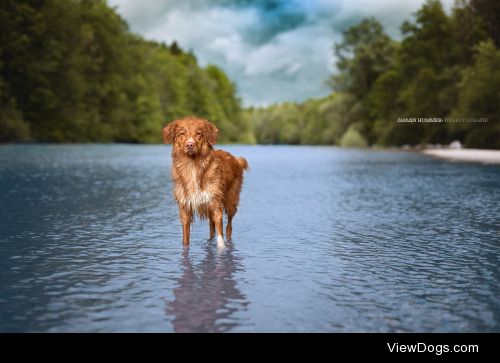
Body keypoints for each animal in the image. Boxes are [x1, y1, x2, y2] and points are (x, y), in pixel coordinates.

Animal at [163, 118, 249, 249]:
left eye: (199, 134)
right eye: (182, 133)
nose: (190, 144)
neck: (193, 165)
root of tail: (236, 159)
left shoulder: (215, 203)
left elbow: (220, 235)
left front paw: (221, 248)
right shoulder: (185, 207)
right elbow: (185, 238)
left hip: (231, 202)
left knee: (228, 226)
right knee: (211, 228)